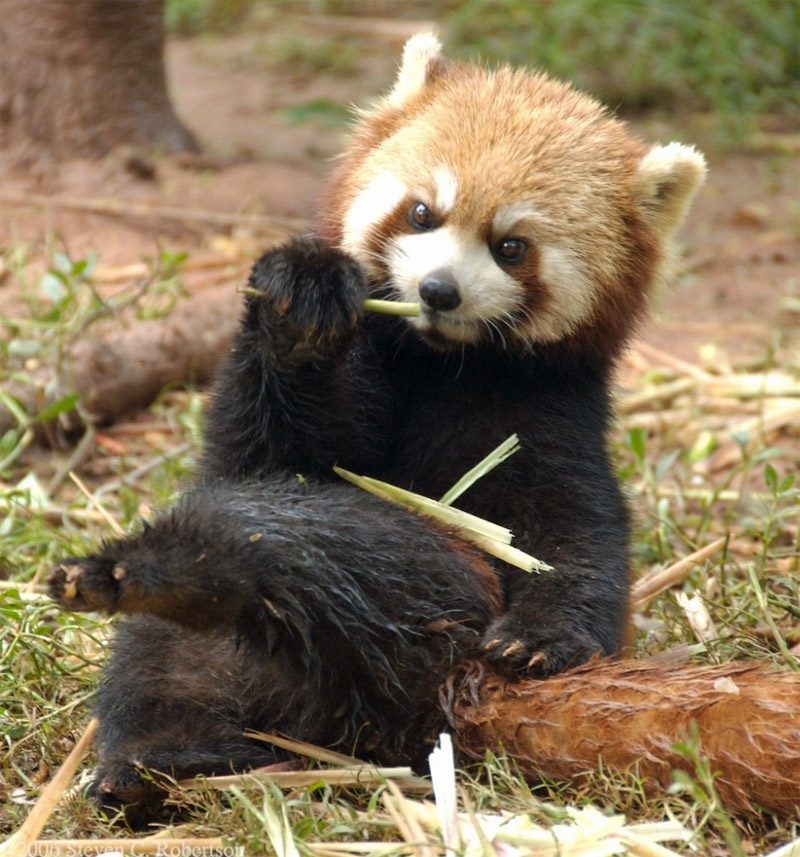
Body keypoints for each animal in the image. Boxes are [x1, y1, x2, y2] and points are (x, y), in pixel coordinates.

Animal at [48, 35, 708, 808]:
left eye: (511, 245)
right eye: (422, 213)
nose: (439, 290)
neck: (437, 362)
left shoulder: (548, 410)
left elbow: (572, 533)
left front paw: (541, 635)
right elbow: (271, 458)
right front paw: (300, 301)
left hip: (433, 609)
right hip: (207, 654)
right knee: (166, 657)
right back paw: (157, 747)